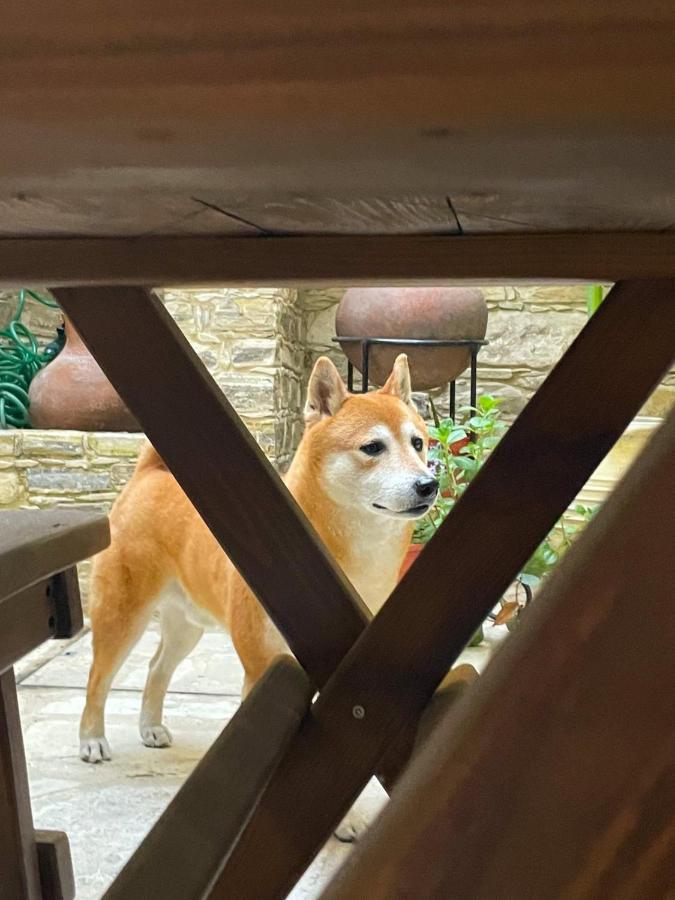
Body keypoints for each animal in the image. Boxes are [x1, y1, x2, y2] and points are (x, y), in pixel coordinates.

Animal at [79, 356, 438, 776]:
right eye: (373, 447)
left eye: (417, 443)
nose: (428, 484)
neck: (358, 560)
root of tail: (149, 475)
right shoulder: (263, 666)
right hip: (122, 616)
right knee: (98, 678)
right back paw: (91, 739)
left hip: (186, 626)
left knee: (156, 668)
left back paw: (149, 727)